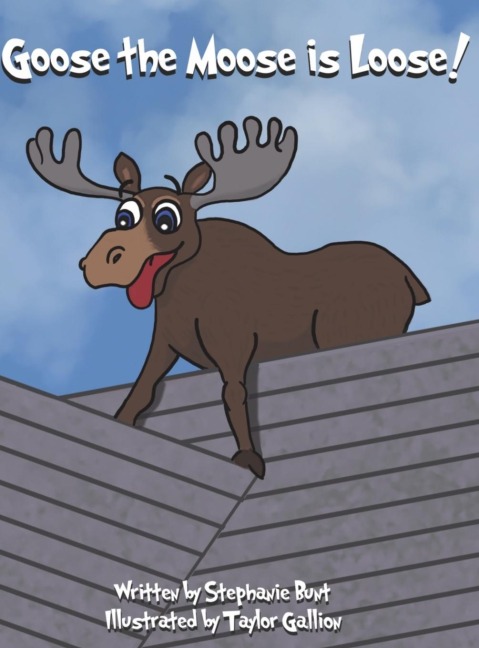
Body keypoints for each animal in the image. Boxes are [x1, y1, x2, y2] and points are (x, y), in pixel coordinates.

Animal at [27, 117, 430, 479]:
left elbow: (234, 395)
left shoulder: (233, 344)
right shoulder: (165, 341)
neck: (179, 292)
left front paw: (249, 458)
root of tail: (412, 279)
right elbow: (143, 388)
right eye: (123, 217)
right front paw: (121, 420)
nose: (98, 263)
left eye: (166, 219)